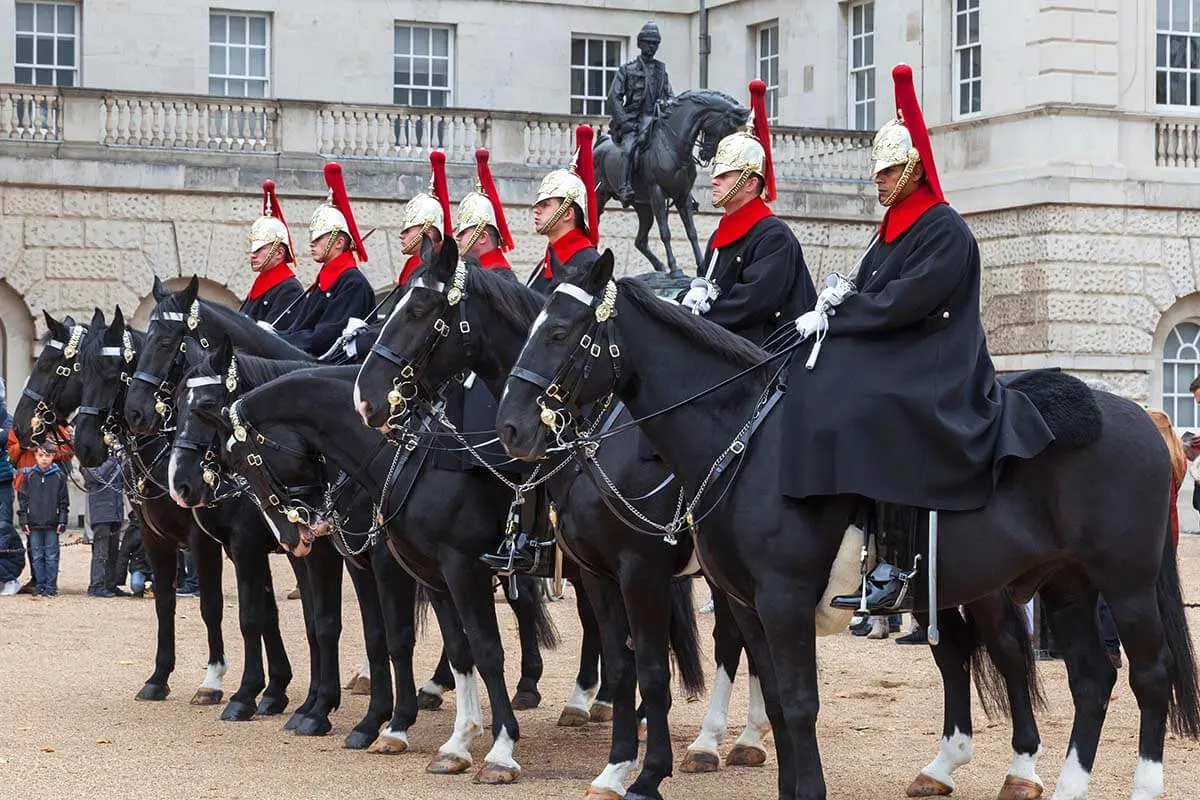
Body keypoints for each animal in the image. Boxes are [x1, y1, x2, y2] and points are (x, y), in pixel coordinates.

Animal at [489, 255, 1200, 800]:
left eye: (561, 332)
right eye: (533, 328)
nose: (513, 429)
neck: (740, 436)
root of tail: (1144, 420)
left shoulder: (741, 592)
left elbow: (786, 698)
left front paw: (643, 774)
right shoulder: (738, 601)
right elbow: (772, 698)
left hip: (1120, 585)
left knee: (1144, 674)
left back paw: (1134, 785)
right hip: (1064, 584)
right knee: (1088, 677)